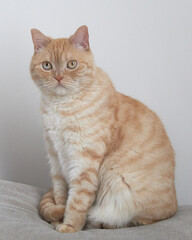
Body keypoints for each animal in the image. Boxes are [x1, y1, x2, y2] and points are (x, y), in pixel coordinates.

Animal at [29, 24, 177, 232]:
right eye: (47, 66)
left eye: (72, 64)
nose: (58, 77)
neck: (61, 107)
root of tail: (176, 203)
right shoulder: (55, 158)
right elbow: (60, 194)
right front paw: (58, 216)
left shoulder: (84, 161)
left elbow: (76, 201)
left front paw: (69, 226)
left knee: (141, 219)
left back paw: (103, 223)